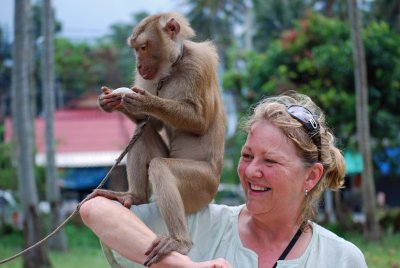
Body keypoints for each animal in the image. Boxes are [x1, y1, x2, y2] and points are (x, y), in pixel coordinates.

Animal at [92, 12, 227, 266]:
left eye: (143, 47)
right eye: (136, 49)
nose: (138, 65)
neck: (174, 67)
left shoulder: (200, 63)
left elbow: (199, 120)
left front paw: (144, 101)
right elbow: (151, 124)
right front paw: (110, 102)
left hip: (202, 189)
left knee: (161, 167)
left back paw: (179, 242)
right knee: (142, 133)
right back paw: (135, 196)